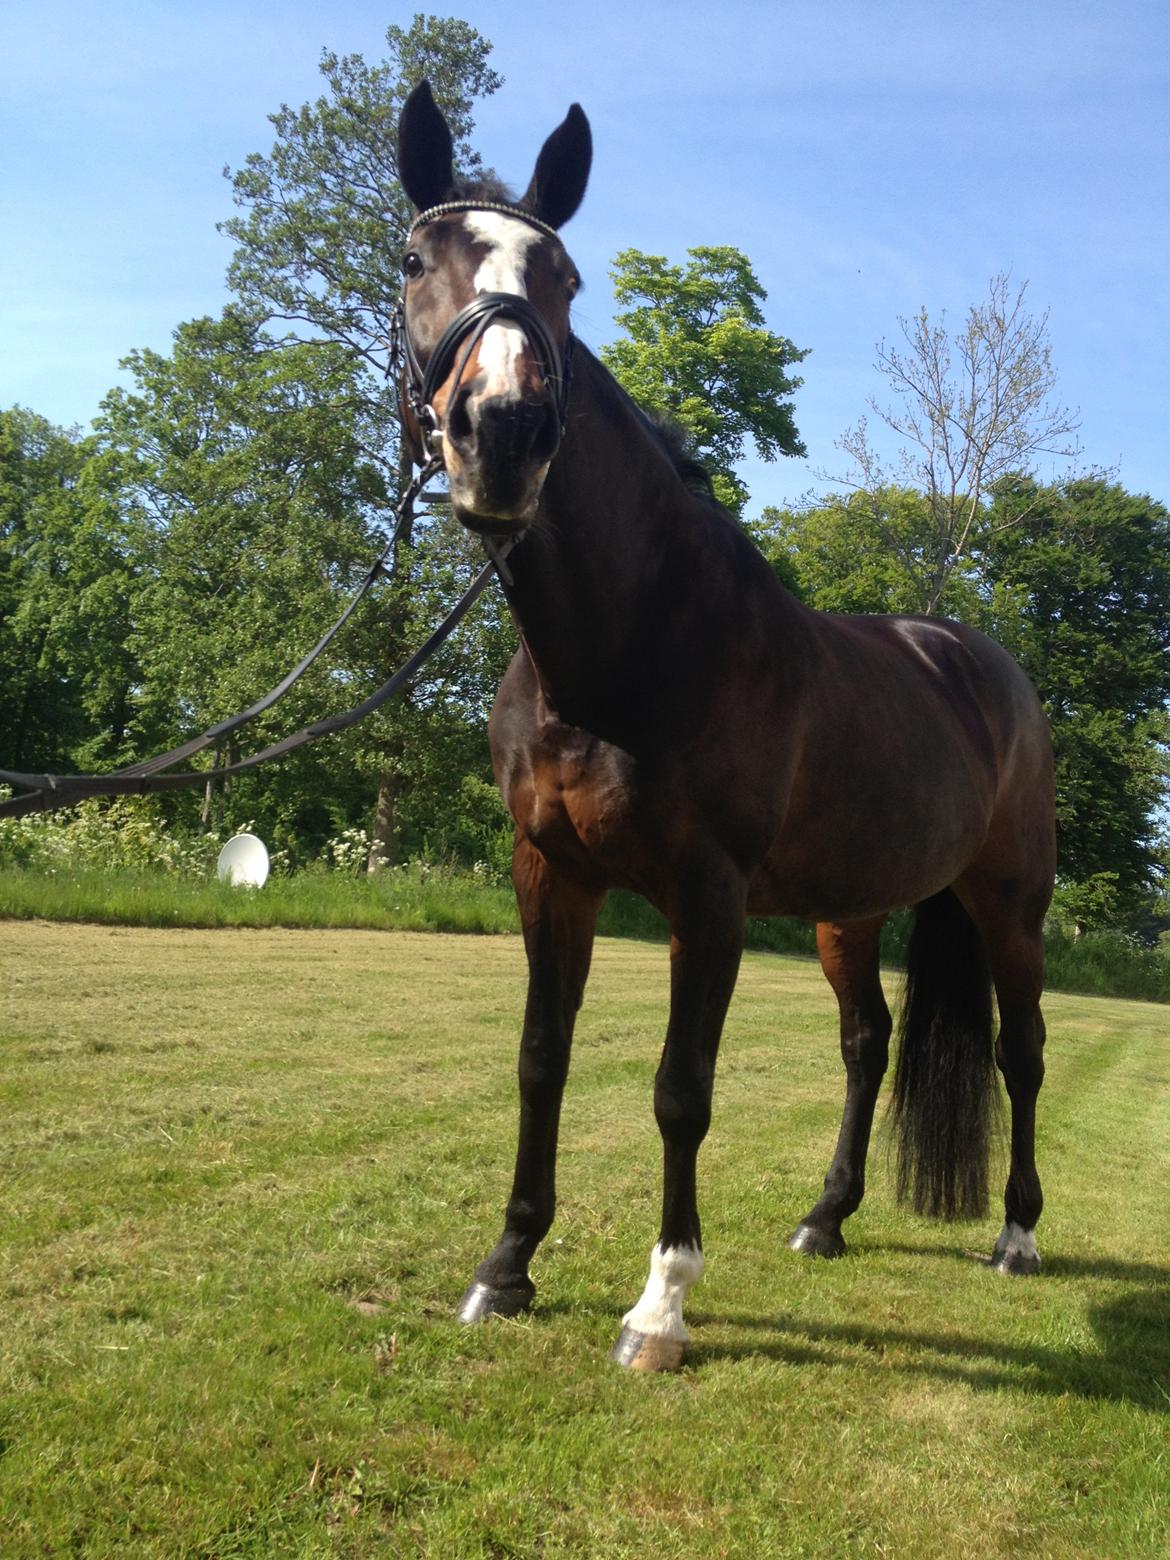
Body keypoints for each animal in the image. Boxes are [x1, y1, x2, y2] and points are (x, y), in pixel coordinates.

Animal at [396, 85, 1060, 1372]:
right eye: (414, 263)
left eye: (564, 278)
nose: (504, 434)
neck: (630, 645)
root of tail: (981, 666)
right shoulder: (551, 874)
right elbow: (541, 1061)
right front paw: (507, 1268)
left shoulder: (704, 897)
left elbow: (679, 1090)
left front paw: (660, 1306)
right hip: (854, 911)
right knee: (868, 1043)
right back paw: (826, 1218)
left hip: (1008, 904)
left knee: (1022, 1052)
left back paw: (1016, 1235)